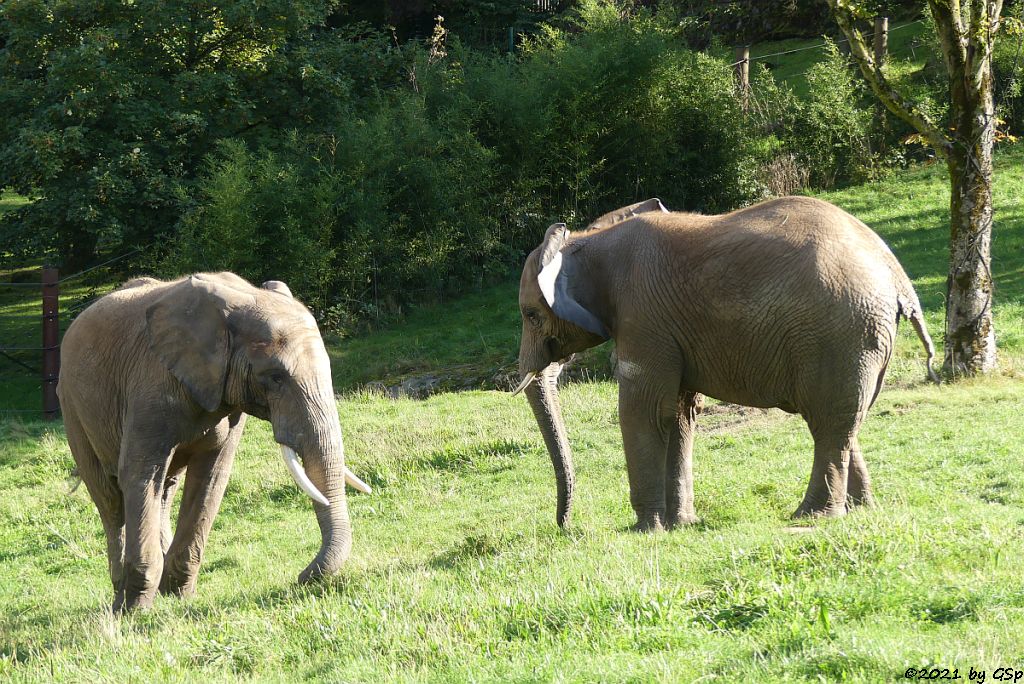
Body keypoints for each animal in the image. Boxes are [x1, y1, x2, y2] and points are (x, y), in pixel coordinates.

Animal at [58, 270, 370, 610]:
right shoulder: (150, 384)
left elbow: (211, 476)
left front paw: (178, 597)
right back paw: (119, 603)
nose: (301, 577)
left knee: (165, 489)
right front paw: (137, 610)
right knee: (111, 499)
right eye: (275, 377)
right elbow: (139, 474)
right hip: (71, 405)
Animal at [516, 194, 937, 532]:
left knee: (828, 421)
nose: (565, 526)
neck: (586, 240)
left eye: (530, 315)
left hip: (840, 332)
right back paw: (861, 509)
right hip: (860, 338)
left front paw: (646, 530)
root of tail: (896, 275)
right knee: (845, 421)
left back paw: (811, 516)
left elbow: (644, 410)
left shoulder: (643, 316)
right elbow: (680, 414)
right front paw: (681, 525)